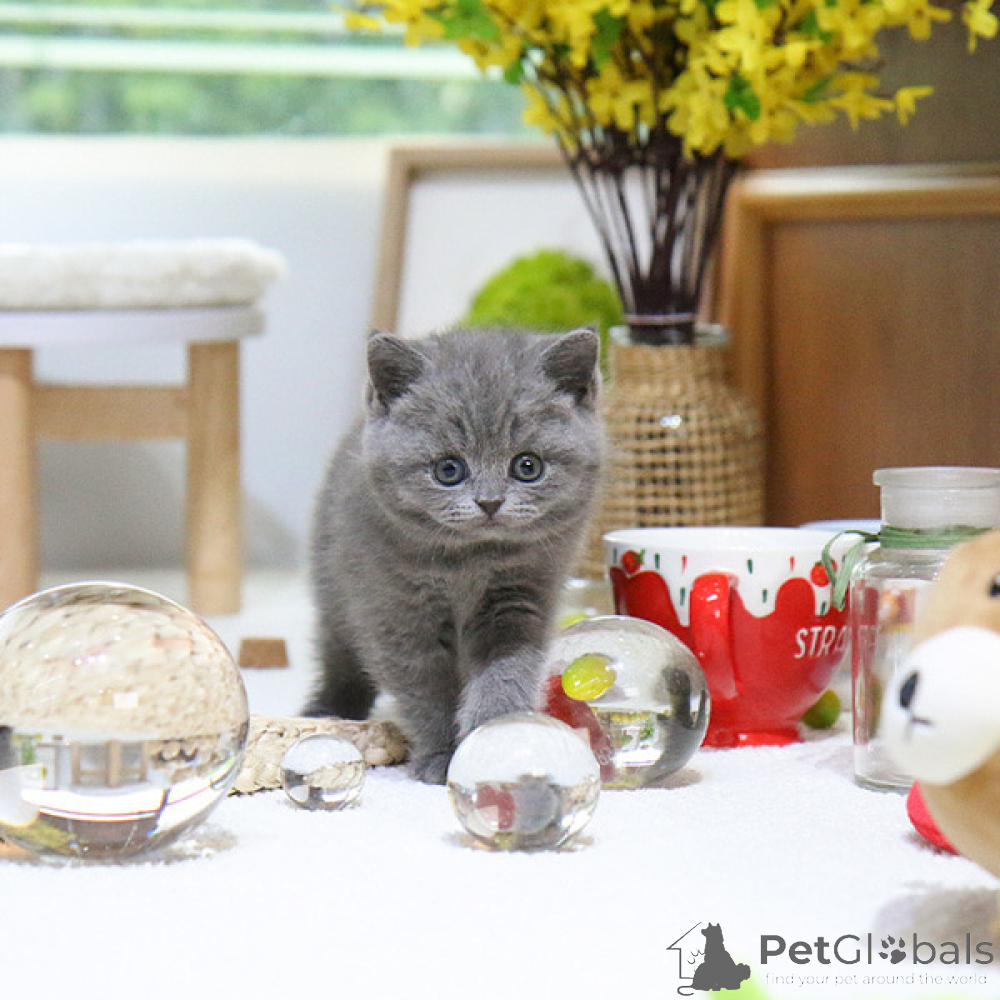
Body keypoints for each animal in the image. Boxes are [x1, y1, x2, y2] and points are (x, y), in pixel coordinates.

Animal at [304, 327, 604, 784]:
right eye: (449, 470)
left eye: (527, 466)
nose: (490, 502)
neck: (470, 563)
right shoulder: (397, 610)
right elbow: (424, 690)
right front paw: (441, 753)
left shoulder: (520, 597)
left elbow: (506, 673)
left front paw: (495, 741)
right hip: (334, 589)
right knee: (339, 655)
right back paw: (328, 710)